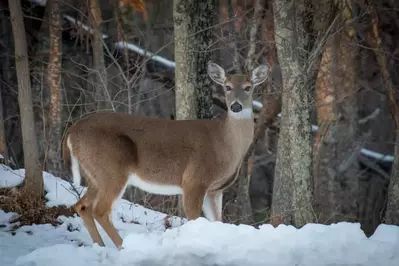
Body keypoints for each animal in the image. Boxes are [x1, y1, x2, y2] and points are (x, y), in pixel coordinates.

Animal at [61, 61, 268, 248]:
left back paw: (101, 246)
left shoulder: (215, 189)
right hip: (112, 167)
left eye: (248, 87)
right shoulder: (194, 180)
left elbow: (217, 221)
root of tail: (72, 130)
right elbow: (194, 219)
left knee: (82, 206)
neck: (225, 145)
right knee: (100, 210)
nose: (236, 106)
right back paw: (123, 246)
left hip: (96, 174)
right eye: (227, 87)